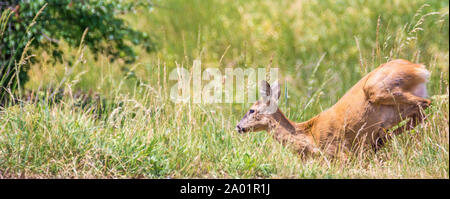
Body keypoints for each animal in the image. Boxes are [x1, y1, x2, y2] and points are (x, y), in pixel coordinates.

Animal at [236, 58, 428, 158]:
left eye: (251, 110)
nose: (238, 126)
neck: (309, 137)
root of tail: (419, 68)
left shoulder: (337, 150)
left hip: (378, 89)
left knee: (425, 104)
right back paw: (380, 140)